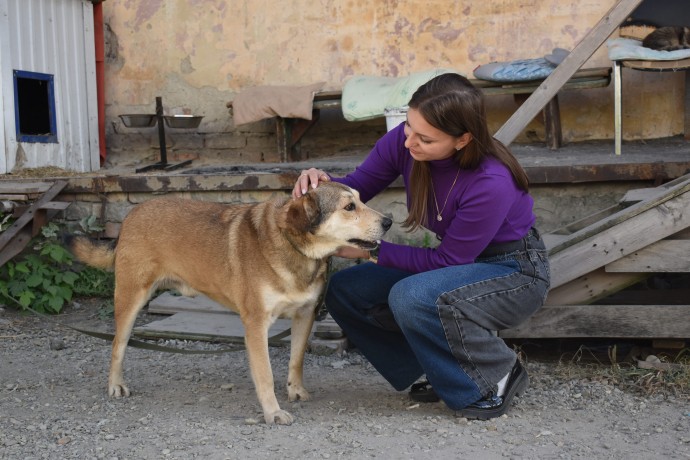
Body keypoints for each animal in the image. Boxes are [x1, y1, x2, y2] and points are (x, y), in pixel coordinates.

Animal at [70, 182, 392, 424]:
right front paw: (273, 412)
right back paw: (115, 384)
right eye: (349, 207)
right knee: (118, 345)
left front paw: (295, 390)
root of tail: (131, 214)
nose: (388, 222)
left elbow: (296, 359)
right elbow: (265, 375)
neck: (295, 247)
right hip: (131, 298)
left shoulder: (304, 314)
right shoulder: (256, 325)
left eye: (361, 200)